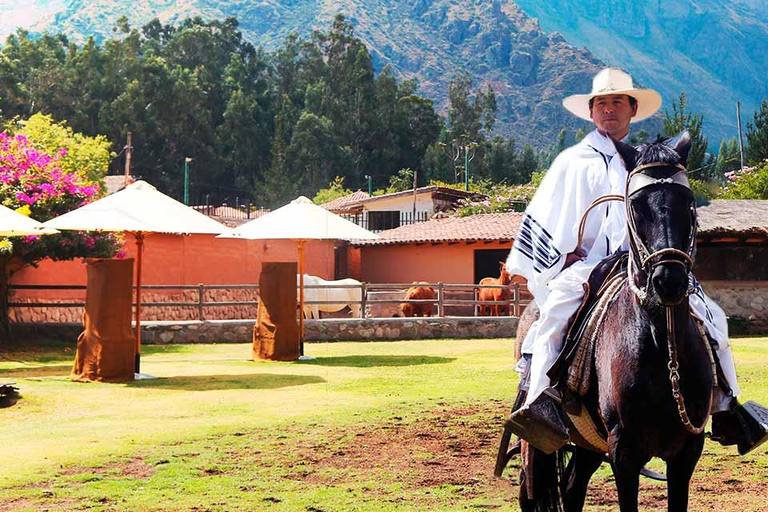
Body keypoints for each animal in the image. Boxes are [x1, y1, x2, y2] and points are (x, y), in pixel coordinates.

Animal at [520, 133, 716, 512]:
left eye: (688, 203)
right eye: (636, 205)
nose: (668, 280)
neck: (659, 343)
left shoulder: (686, 453)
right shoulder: (624, 453)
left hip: (589, 444)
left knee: (572, 488)